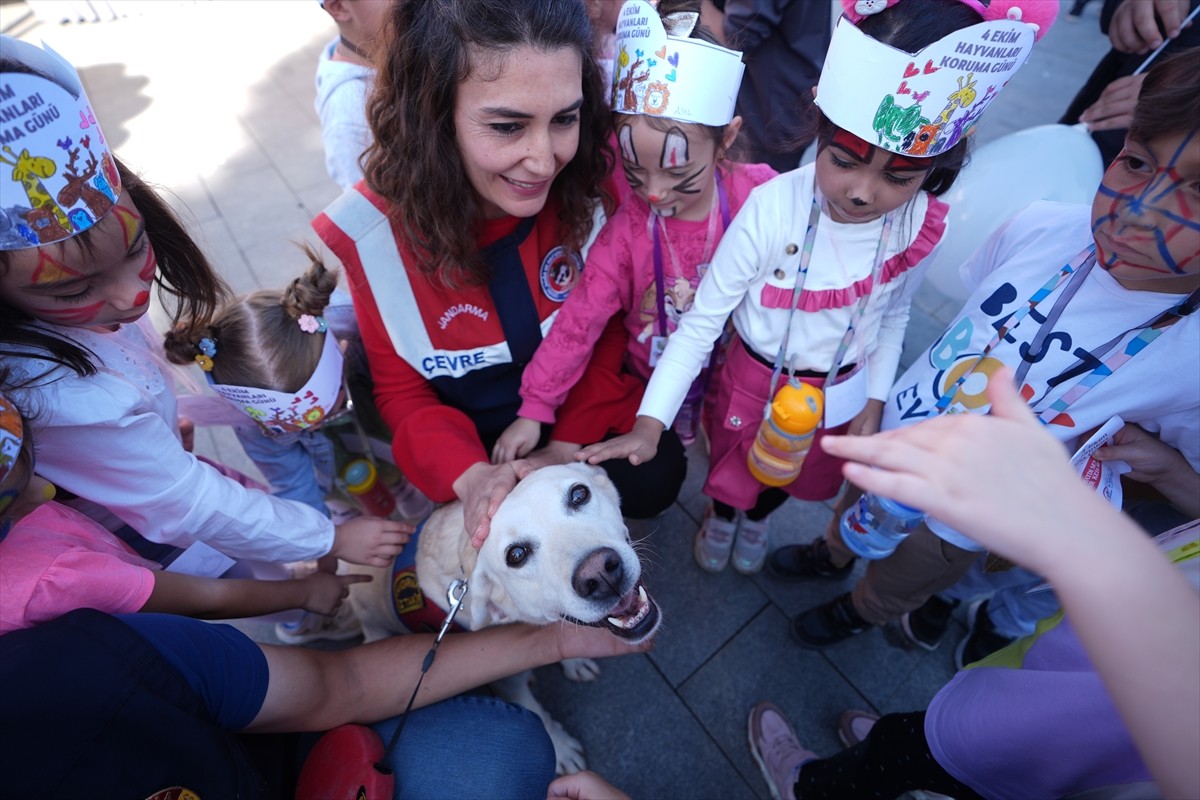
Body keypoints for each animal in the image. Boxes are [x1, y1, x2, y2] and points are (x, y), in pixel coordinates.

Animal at [348, 462, 662, 777]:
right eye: (517, 555)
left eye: (579, 494)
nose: (599, 574)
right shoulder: (507, 678)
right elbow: (538, 715)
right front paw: (562, 751)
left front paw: (575, 661)